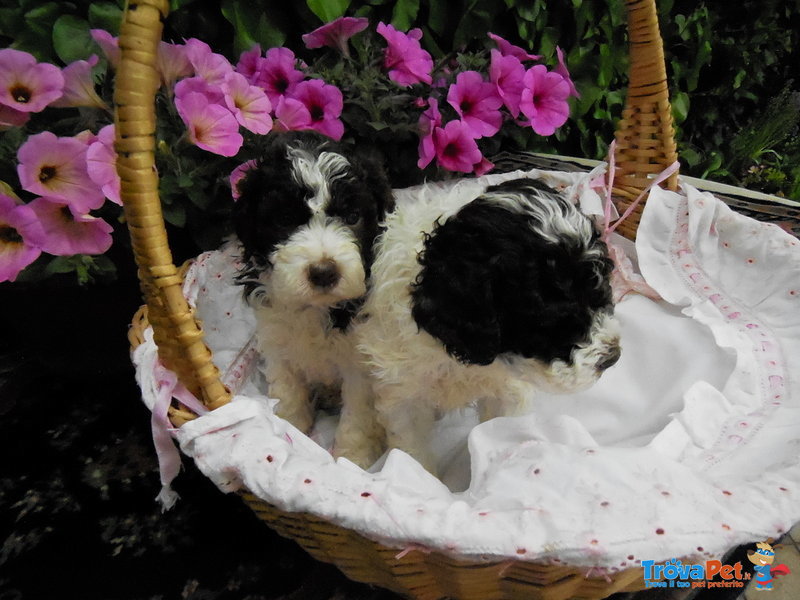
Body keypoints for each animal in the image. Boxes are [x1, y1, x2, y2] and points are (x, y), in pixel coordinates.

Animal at [231, 130, 394, 464]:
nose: (323, 272)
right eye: (283, 220)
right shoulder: (276, 340)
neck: (317, 307)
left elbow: (357, 414)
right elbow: (287, 390)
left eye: (353, 216)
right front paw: (288, 429)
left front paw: (353, 458)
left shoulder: (359, 362)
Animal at [356, 178, 624, 474]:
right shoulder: (403, 391)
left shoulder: (506, 390)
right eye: (548, 312)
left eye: (598, 284)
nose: (612, 357)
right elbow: (412, 453)